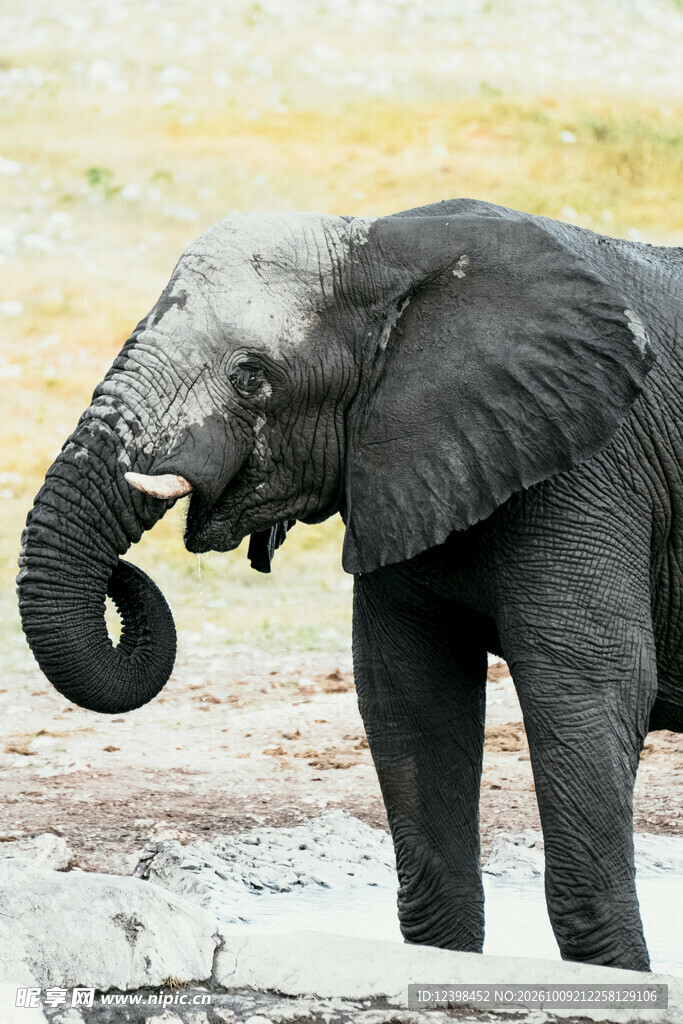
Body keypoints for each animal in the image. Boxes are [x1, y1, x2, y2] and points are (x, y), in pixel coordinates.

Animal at [17, 197, 682, 971]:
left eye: (251, 376)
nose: (126, 567)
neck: (387, 246)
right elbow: (409, 696)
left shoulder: (590, 469)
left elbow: (583, 686)